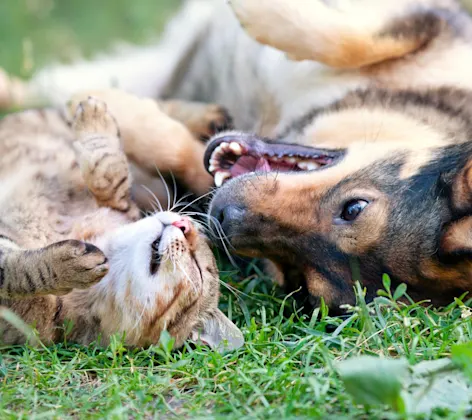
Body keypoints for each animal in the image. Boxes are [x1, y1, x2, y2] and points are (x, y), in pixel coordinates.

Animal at [2, 0, 472, 308]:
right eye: (354, 207)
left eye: (298, 277)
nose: (223, 218)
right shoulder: (432, 22)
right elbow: (353, 38)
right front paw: (254, 9)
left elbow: (178, 152)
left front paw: (124, 113)